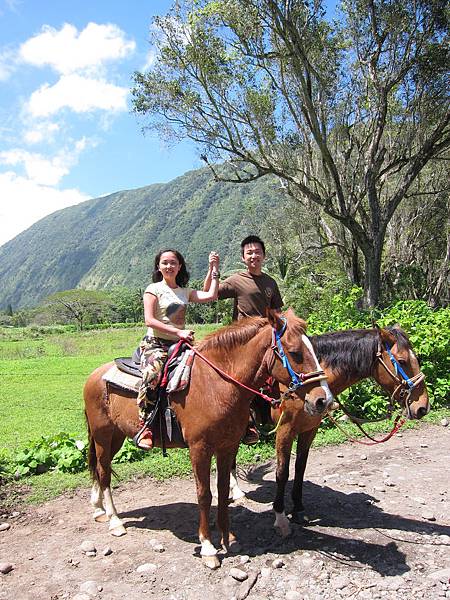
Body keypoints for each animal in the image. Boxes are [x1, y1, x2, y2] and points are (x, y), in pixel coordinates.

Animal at [83, 310, 334, 568]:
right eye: (294, 352)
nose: (323, 400)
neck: (217, 385)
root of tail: (94, 375)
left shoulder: (227, 446)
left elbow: (222, 490)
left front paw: (227, 537)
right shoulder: (199, 449)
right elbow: (204, 494)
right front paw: (208, 548)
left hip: (116, 436)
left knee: (99, 469)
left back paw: (99, 509)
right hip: (103, 436)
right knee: (103, 472)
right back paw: (115, 521)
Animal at [268, 324, 430, 536]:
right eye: (402, 361)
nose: (423, 407)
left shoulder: (309, 429)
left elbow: (300, 467)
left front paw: (299, 510)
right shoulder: (285, 430)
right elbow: (282, 472)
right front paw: (280, 517)